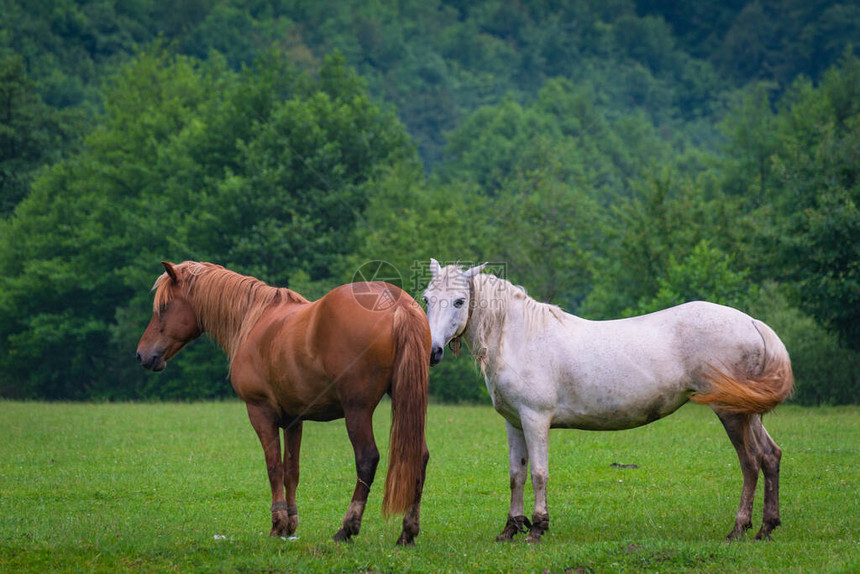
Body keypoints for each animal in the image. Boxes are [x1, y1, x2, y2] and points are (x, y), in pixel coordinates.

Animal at [139, 264, 434, 548]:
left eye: (163, 307)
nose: (142, 355)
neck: (253, 320)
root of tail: (398, 304)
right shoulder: (294, 418)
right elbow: (291, 470)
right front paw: (290, 525)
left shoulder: (260, 412)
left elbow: (274, 468)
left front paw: (277, 524)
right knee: (419, 457)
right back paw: (407, 532)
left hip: (357, 411)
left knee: (367, 459)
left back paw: (347, 528)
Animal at [424, 260, 792, 544]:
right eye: (427, 298)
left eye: (459, 301)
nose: (433, 351)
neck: (521, 337)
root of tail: (752, 323)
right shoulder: (513, 423)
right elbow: (517, 474)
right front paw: (510, 530)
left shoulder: (535, 419)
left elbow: (539, 473)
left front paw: (538, 529)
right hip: (747, 412)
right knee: (770, 456)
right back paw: (765, 528)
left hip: (731, 413)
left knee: (750, 462)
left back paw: (738, 529)